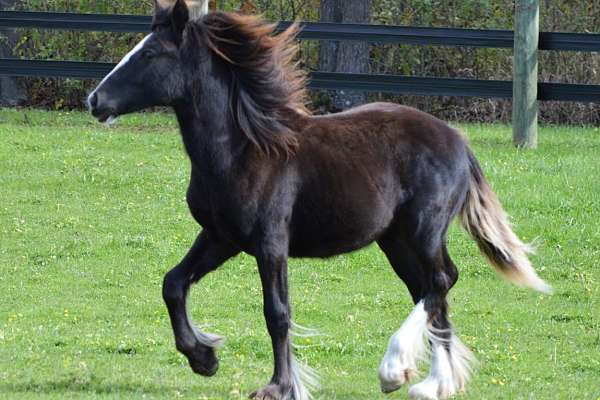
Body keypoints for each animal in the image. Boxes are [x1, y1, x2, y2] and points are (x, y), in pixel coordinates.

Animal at [86, 1, 552, 398]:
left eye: (151, 54)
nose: (95, 100)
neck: (243, 149)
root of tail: (459, 142)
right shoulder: (220, 237)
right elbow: (173, 284)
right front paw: (204, 357)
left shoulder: (271, 242)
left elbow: (277, 312)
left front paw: (279, 386)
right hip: (395, 240)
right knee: (432, 287)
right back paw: (434, 383)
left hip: (422, 229)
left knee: (439, 282)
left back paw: (397, 371)